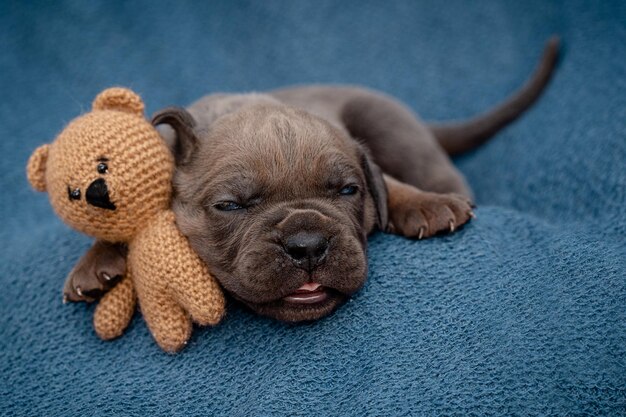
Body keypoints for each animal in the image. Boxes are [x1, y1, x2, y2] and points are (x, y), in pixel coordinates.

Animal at [64, 37, 560, 322]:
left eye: (348, 191)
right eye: (230, 206)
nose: (307, 245)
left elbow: (389, 182)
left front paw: (422, 204)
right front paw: (95, 260)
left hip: (388, 124)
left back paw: (438, 195)